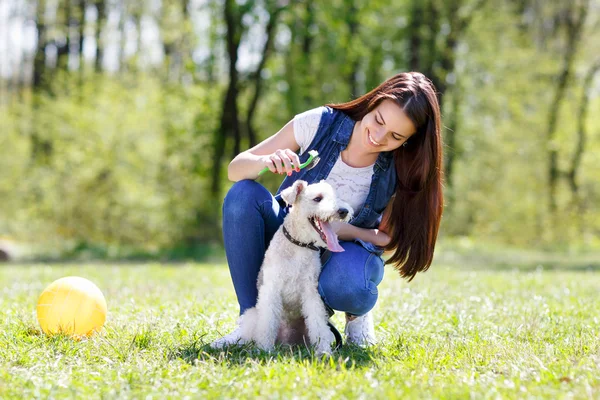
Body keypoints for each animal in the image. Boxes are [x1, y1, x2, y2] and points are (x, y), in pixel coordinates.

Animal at [236, 180, 350, 354]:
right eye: (317, 198)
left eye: (336, 195)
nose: (344, 211)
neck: (299, 244)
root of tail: (287, 342)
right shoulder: (272, 289)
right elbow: (268, 322)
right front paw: (265, 350)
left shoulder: (311, 292)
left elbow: (317, 324)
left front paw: (323, 351)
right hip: (252, 316)